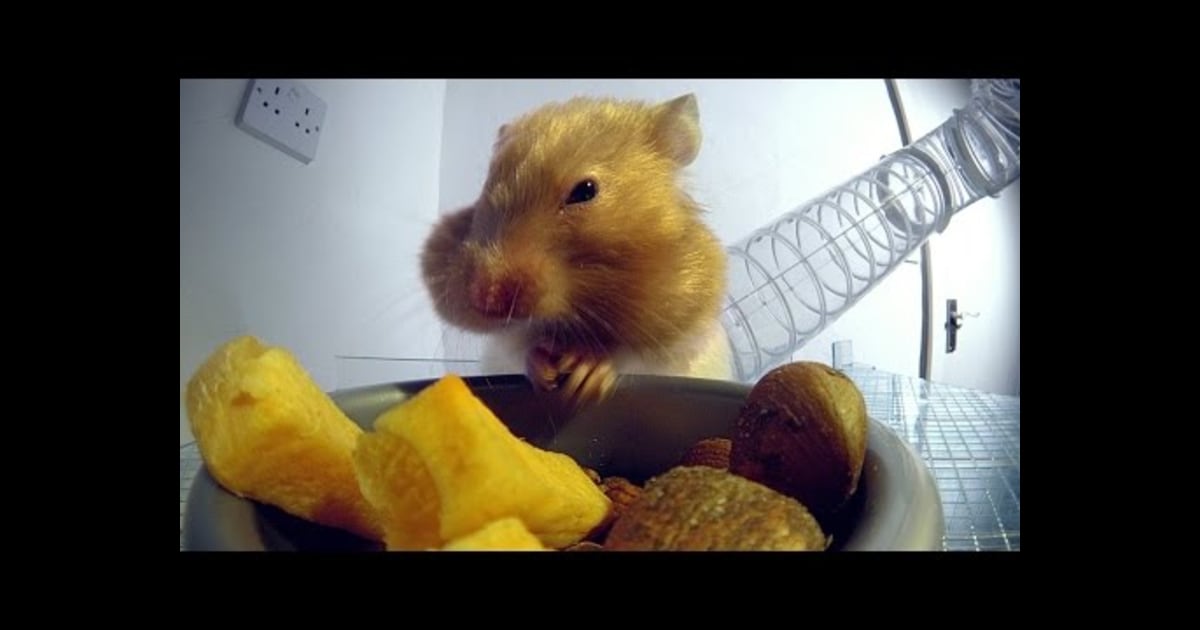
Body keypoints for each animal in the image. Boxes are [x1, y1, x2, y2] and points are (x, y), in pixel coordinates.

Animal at [421, 93, 731, 407]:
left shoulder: (680, 330)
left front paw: (582, 378)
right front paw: (545, 374)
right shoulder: (509, 343)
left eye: (585, 191)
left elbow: (627, 355)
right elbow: (520, 346)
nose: (484, 297)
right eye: (485, 189)